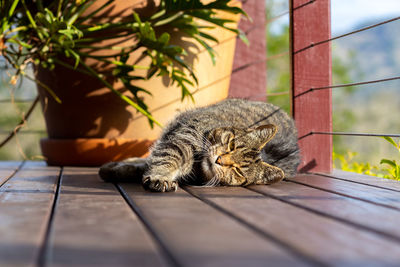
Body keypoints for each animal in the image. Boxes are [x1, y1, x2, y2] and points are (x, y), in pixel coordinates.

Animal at [99, 98, 300, 193]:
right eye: (232, 144)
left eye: (238, 171)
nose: (219, 160)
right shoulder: (181, 141)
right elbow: (165, 161)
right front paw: (160, 177)